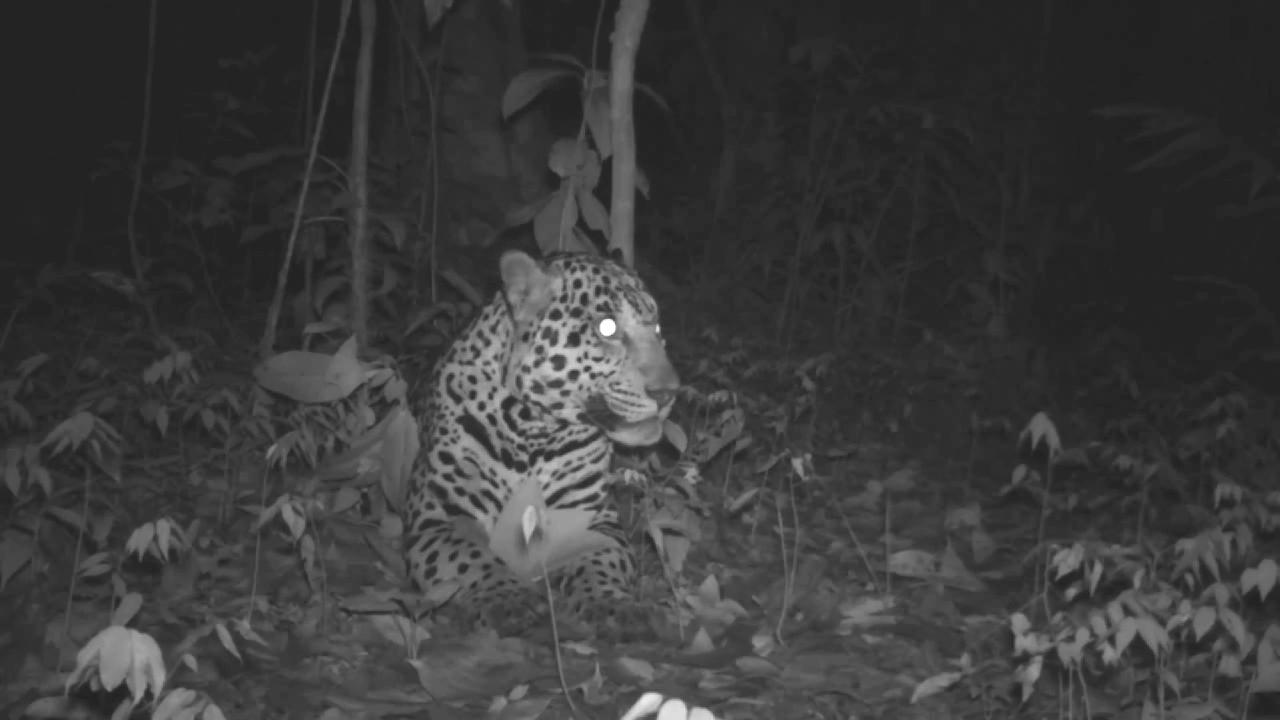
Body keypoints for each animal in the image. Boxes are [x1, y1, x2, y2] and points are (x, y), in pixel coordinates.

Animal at [404, 249, 680, 634]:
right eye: (606, 327)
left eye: (655, 327)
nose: (669, 393)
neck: (535, 430)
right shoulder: (437, 518)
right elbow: (471, 557)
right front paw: (506, 597)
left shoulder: (591, 516)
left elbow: (600, 558)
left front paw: (610, 602)